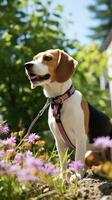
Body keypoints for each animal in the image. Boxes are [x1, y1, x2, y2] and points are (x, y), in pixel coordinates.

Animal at [24, 48, 112, 178]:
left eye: (47, 58)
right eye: (34, 59)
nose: (27, 65)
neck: (59, 101)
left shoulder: (80, 137)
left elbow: (78, 157)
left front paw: (77, 176)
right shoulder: (59, 140)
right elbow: (63, 161)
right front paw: (63, 176)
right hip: (89, 154)